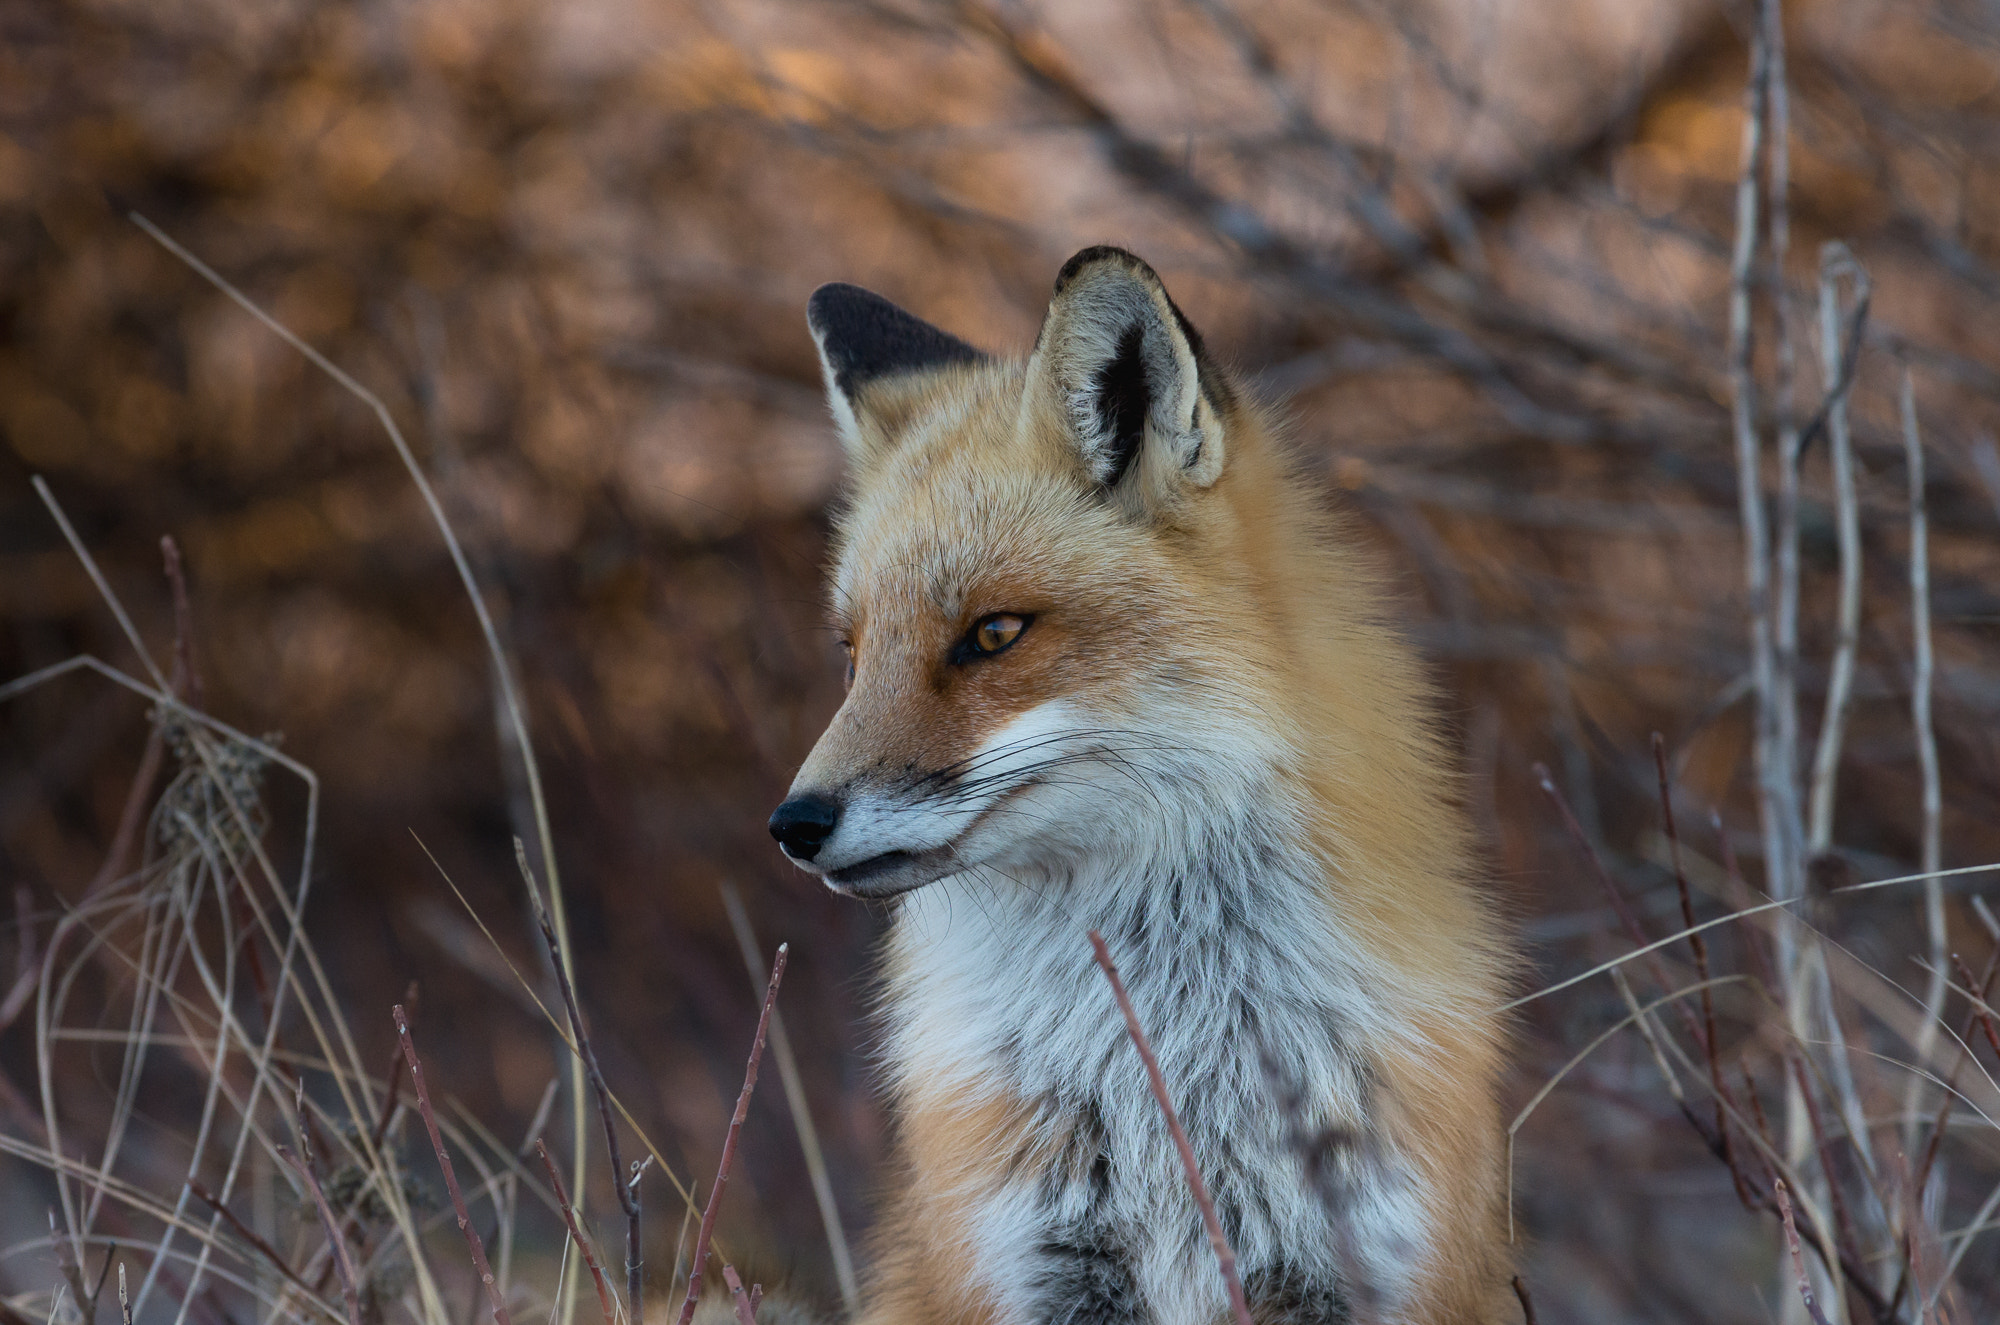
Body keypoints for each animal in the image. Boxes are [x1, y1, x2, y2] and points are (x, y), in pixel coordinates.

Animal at [766, 247, 1513, 1325]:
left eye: (993, 633)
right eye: (854, 653)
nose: (793, 822)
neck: (1171, 1066)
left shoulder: (1362, 1257)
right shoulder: (1037, 1264)